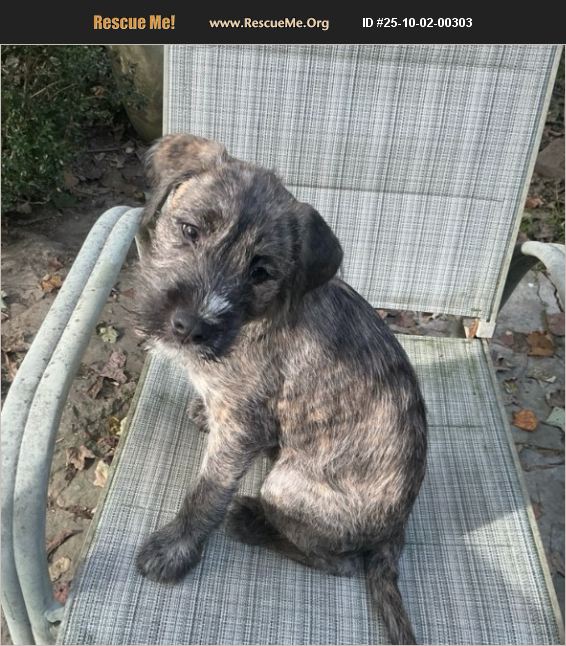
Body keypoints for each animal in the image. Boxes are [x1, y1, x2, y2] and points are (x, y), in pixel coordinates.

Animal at [135, 134, 427, 645]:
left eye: (261, 272)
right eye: (190, 230)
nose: (189, 325)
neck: (251, 321)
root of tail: (397, 530)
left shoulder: (241, 429)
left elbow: (206, 493)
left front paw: (175, 549)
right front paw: (202, 412)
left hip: (286, 484)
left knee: (339, 563)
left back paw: (251, 522)